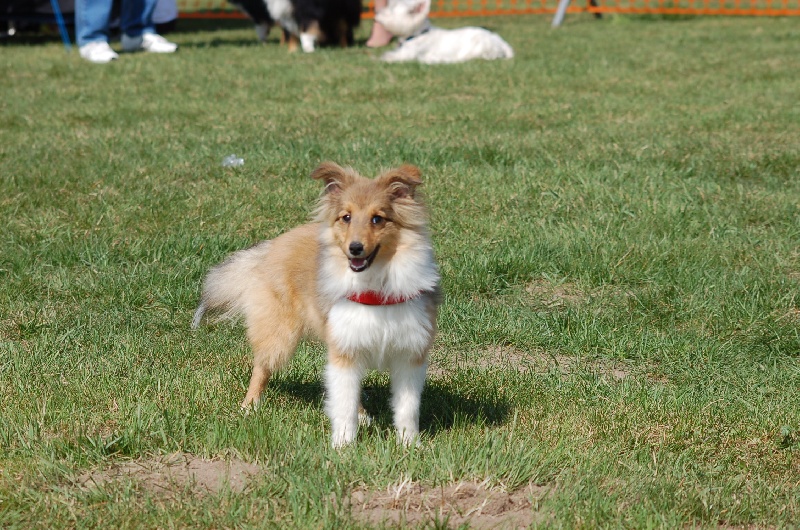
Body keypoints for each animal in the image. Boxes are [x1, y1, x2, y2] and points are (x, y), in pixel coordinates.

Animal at [194, 162, 444, 446]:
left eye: (377, 218)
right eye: (346, 217)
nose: (355, 248)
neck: (375, 288)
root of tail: (270, 246)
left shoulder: (409, 352)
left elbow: (407, 406)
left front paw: (410, 445)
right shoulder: (344, 347)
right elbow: (344, 403)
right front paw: (343, 446)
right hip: (280, 332)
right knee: (262, 366)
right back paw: (249, 407)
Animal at [227, 0, 360, 52]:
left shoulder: (308, 7)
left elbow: (306, 28)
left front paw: (307, 48)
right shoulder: (287, 10)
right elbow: (291, 31)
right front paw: (292, 50)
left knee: (343, 27)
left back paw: (343, 45)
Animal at [374, 0, 512, 64]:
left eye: (391, 9)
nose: (376, 14)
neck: (417, 34)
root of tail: (501, 42)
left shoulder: (407, 55)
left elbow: (390, 57)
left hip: (480, 45)